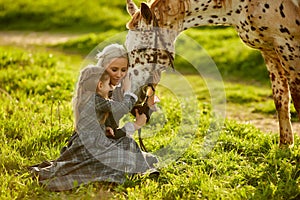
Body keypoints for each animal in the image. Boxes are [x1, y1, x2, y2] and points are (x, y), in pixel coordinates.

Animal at [125, 0, 300, 147]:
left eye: (140, 49)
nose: (133, 95)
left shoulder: (288, 47)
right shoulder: (270, 51)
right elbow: (281, 100)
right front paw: (285, 147)